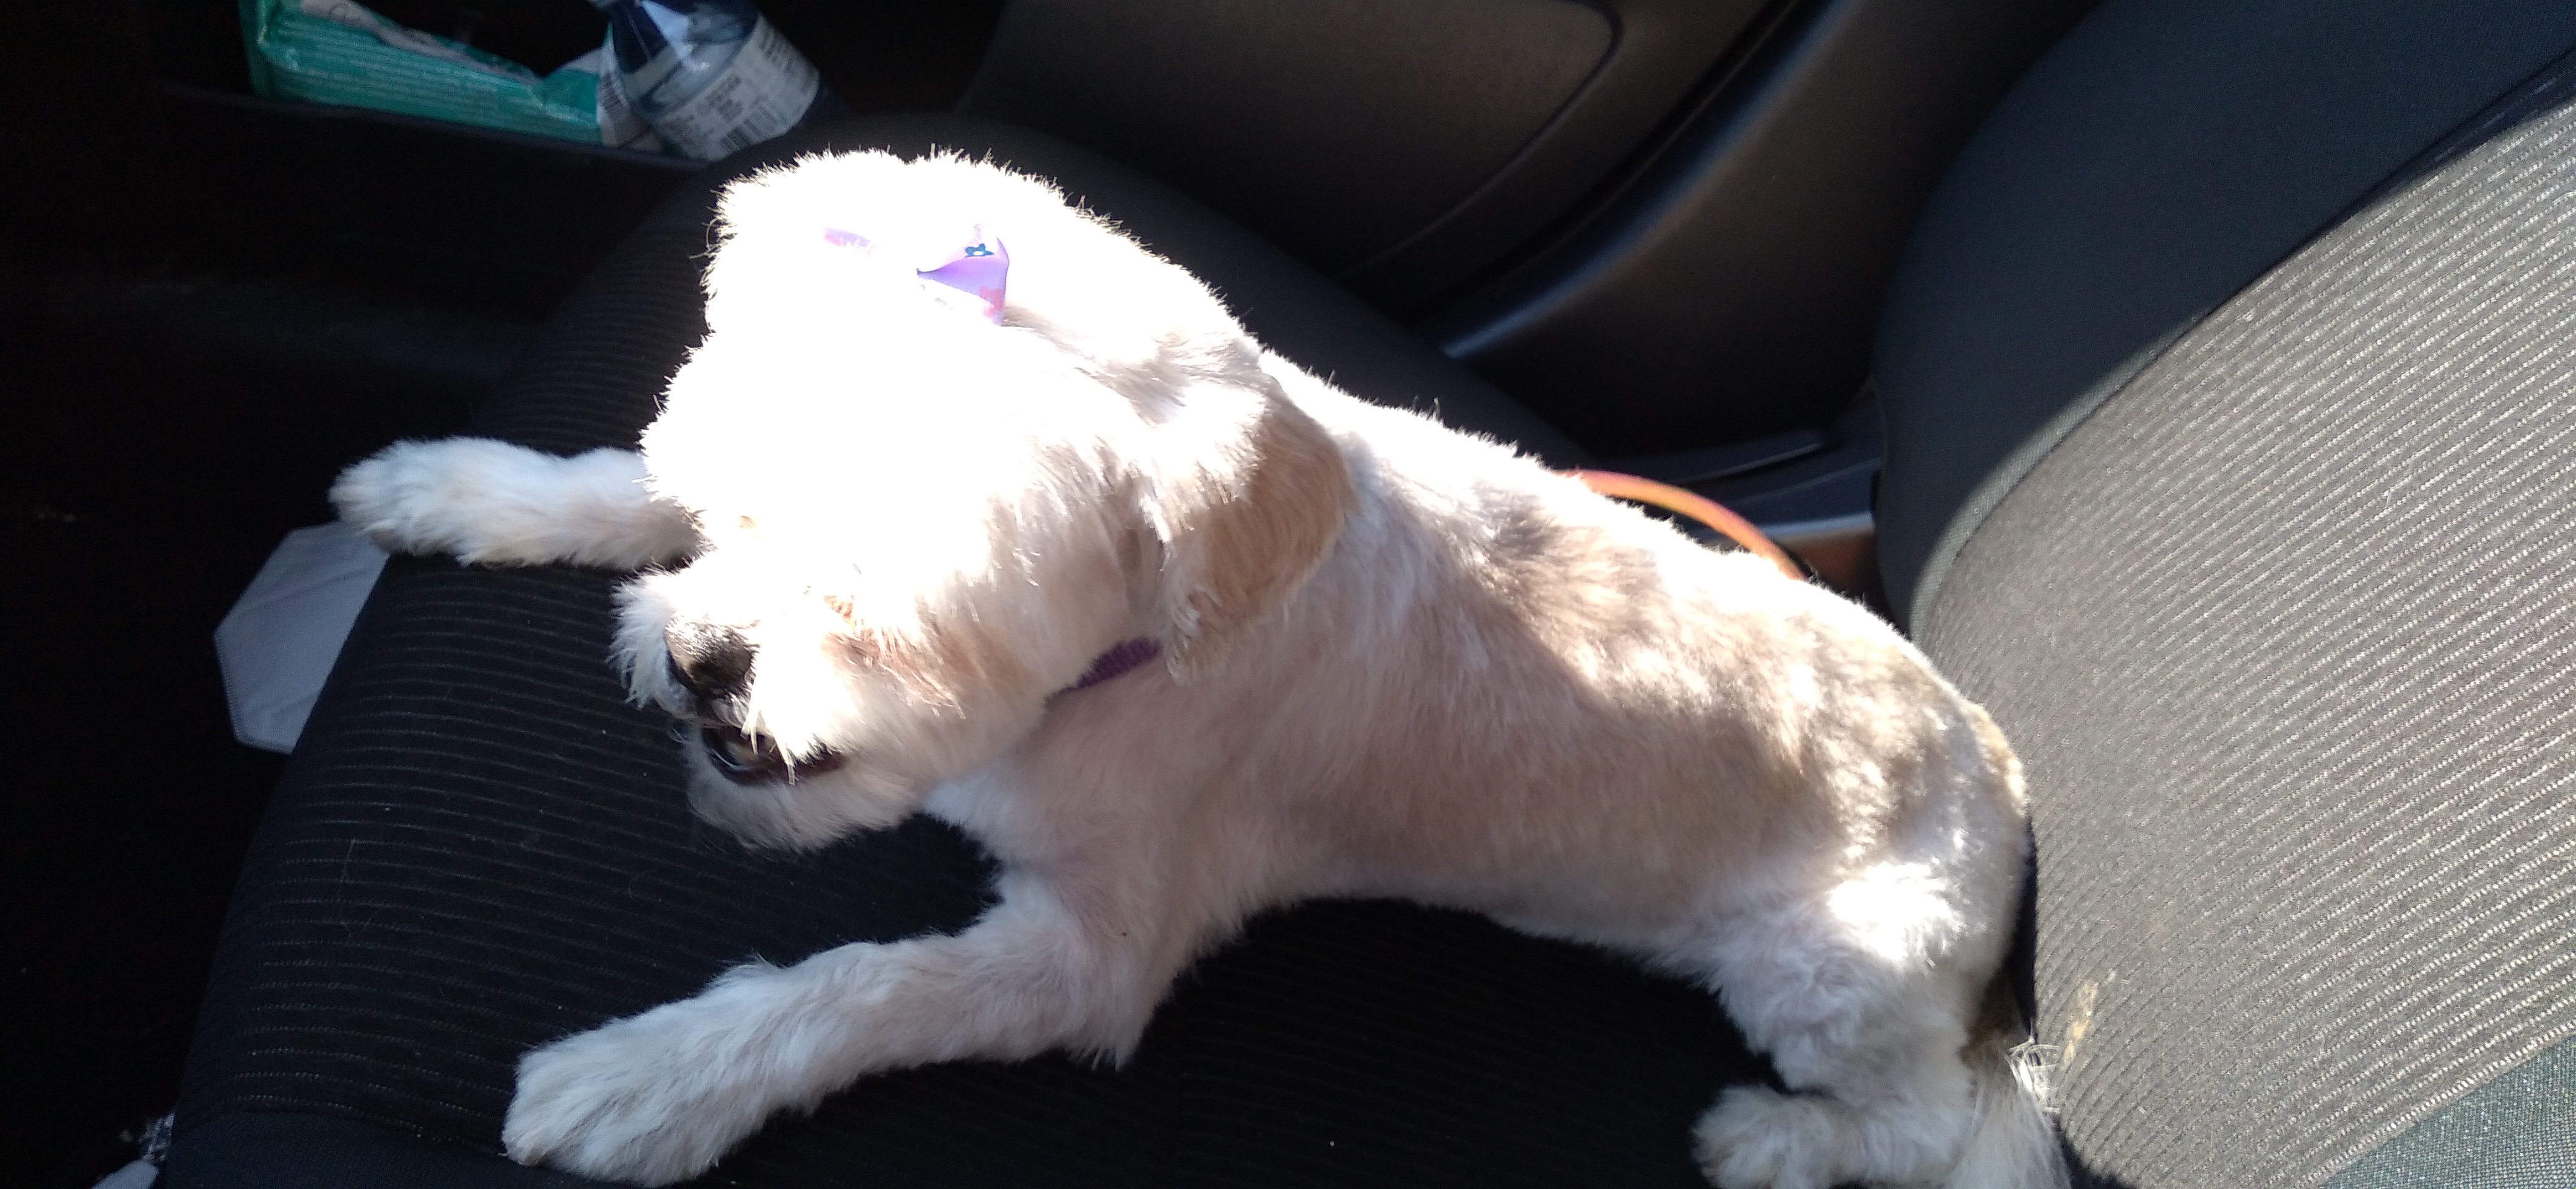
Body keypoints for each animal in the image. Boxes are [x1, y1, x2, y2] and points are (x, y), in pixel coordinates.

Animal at [331, 149, 2063, 1189]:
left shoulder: (1087, 955)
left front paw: (649, 1078)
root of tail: (1998, 761)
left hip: (1830, 969)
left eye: (894, 611)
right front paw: (470, 487)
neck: (1137, 652)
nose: (702, 659)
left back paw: (1778, 1139)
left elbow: (853, 988)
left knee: (1931, 1123)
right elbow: (609, 486)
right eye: (731, 505)